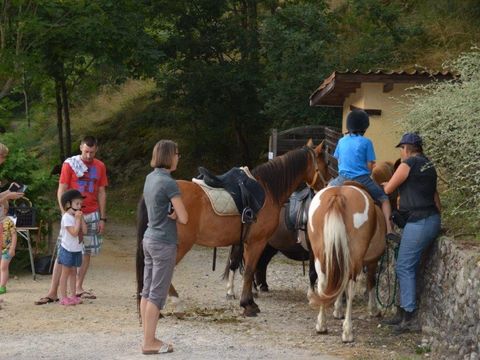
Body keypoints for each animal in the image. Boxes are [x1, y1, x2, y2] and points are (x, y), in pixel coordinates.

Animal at [137, 141, 328, 316]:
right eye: (326, 164)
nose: (325, 189)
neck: (268, 191)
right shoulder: (257, 242)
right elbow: (250, 270)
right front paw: (248, 305)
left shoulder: (245, 242)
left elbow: (245, 269)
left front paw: (248, 301)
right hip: (179, 245)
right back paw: (175, 301)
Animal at [306, 161, 396, 344]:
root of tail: (338, 196)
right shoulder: (372, 261)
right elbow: (370, 282)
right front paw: (373, 309)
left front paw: (337, 310)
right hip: (354, 259)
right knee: (350, 288)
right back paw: (347, 332)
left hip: (321, 255)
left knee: (324, 283)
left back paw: (321, 325)